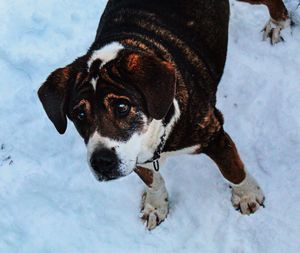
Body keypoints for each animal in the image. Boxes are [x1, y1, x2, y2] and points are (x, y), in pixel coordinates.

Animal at [37, 0, 290, 229]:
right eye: (79, 114)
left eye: (122, 107)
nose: (102, 163)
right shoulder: (135, 153)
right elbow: (151, 180)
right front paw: (155, 205)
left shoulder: (214, 134)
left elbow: (233, 170)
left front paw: (247, 195)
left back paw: (278, 22)